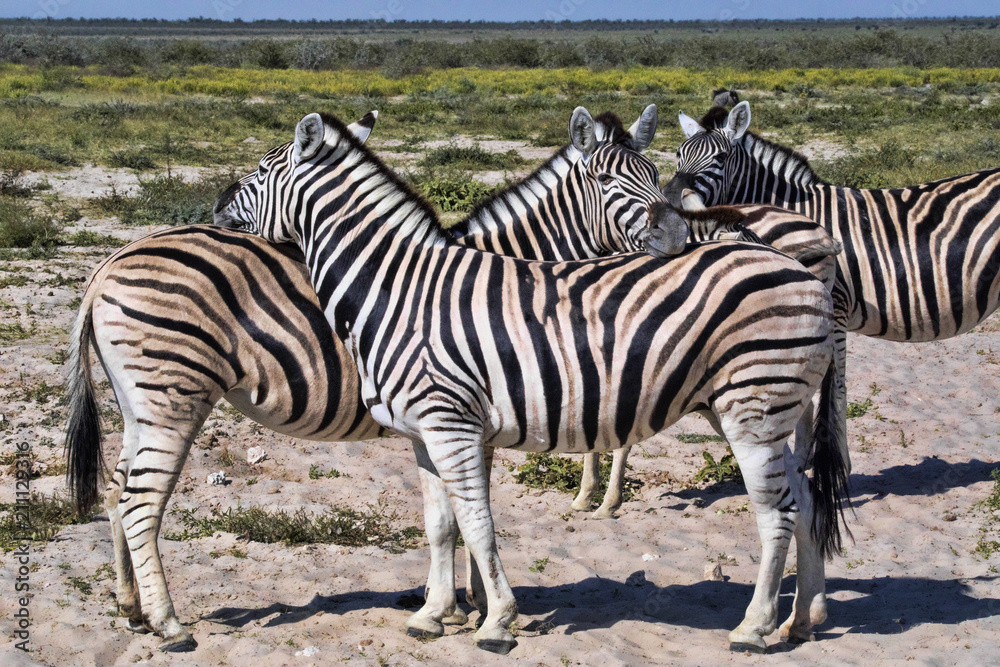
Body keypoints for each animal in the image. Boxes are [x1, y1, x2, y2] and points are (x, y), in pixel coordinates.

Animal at [64, 105, 674, 651]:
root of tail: (111, 262)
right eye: (609, 180)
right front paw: (480, 607)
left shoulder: (457, 421)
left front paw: (456, 607)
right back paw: (169, 624)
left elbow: (452, 517)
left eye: (657, 174)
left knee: (119, 492)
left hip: (140, 402)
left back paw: (132, 609)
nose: (675, 236)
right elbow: (470, 514)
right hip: (174, 395)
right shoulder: (469, 416)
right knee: (142, 501)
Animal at [206, 110, 849, 653]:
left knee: (776, 513)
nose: (213, 210)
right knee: (805, 499)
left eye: (261, 171)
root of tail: (802, 268)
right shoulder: (424, 433)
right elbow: (441, 525)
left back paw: (754, 628)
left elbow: (478, 524)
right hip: (759, 408)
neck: (398, 290)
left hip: (753, 407)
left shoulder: (453, 425)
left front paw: (495, 621)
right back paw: (802, 620)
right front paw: (433, 614)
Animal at [662, 99, 1000, 474]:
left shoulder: (833, 306)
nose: (670, 202)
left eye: (720, 158)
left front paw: (830, 465)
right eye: (678, 154)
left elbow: (832, 388)